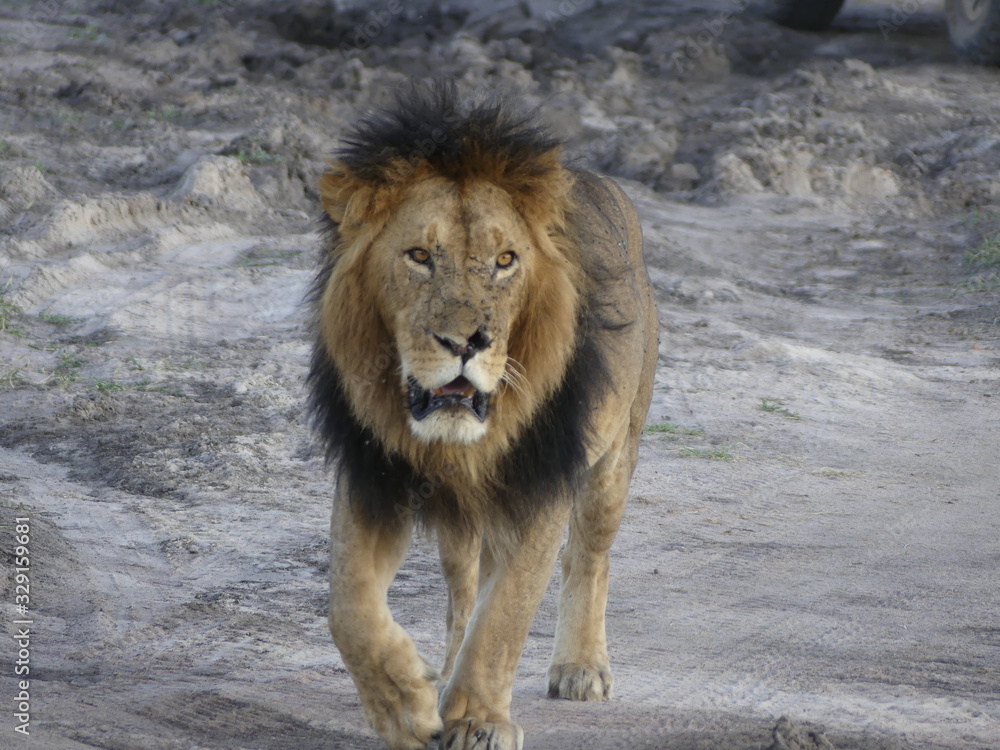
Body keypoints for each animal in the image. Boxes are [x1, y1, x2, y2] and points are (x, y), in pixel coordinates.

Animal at [308, 83, 658, 750]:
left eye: (505, 260)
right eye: (419, 255)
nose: (466, 342)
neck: (455, 445)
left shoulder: (539, 485)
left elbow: (507, 613)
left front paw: (476, 721)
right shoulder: (375, 475)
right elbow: (348, 605)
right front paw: (403, 704)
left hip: (612, 460)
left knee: (587, 556)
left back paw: (579, 666)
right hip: (466, 527)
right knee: (463, 591)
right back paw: (444, 676)